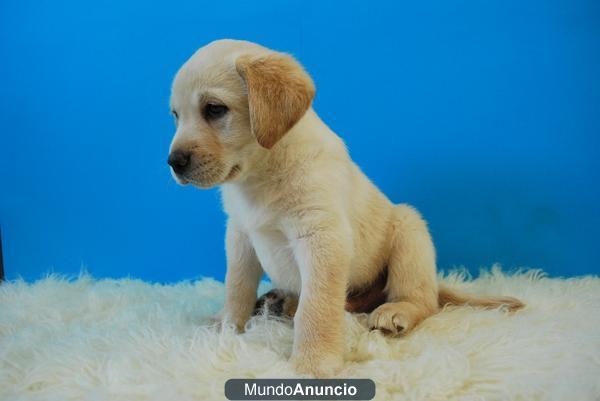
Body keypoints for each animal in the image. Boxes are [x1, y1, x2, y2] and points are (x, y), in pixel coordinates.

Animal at [166, 39, 524, 376]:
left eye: (214, 109)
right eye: (175, 116)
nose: (173, 161)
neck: (260, 176)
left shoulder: (322, 237)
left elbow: (317, 306)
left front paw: (313, 363)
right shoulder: (240, 234)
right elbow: (237, 285)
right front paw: (226, 324)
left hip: (410, 231)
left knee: (423, 301)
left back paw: (396, 311)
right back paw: (281, 301)